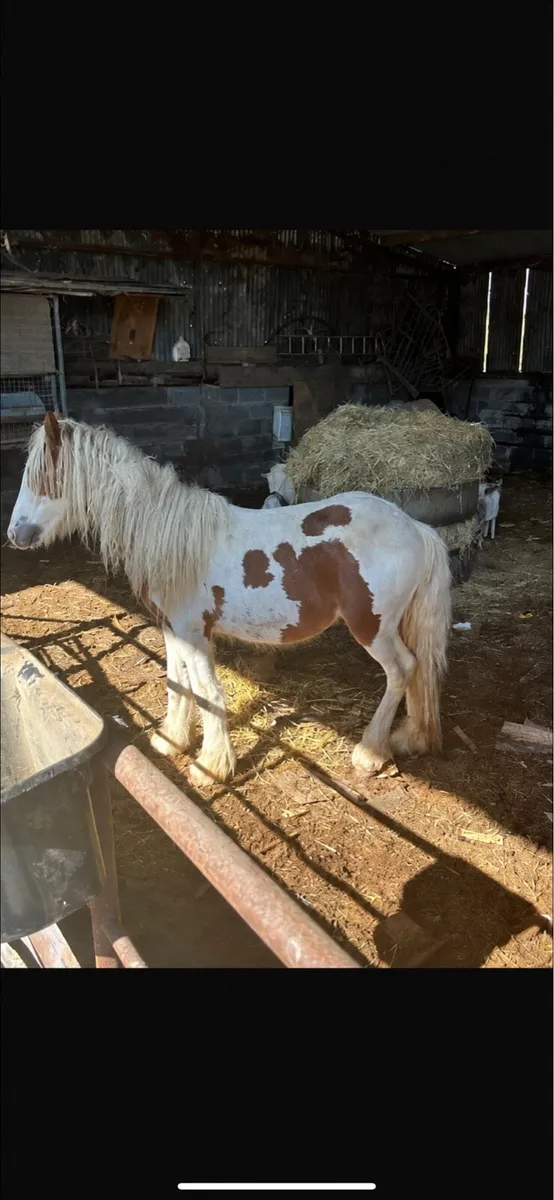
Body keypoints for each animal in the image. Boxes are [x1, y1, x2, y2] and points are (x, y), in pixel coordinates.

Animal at [7, 411, 452, 787]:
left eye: (44, 479)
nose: (15, 534)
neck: (174, 540)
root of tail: (414, 526)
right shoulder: (173, 631)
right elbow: (178, 684)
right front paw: (172, 740)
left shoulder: (195, 634)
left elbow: (208, 693)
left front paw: (211, 765)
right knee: (417, 670)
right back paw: (410, 738)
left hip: (372, 627)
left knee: (401, 670)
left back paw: (371, 752)